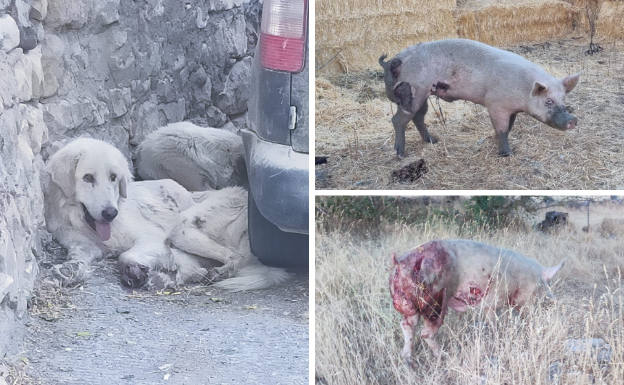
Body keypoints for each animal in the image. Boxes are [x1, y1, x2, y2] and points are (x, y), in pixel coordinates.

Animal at [43, 136, 288, 290]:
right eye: (88, 178)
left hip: (182, 228)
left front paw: (136, 269)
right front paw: (63, 272)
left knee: (233, 257)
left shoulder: (152, 238)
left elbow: (126, 255)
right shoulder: (82, 246)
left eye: (114, 177)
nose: (110, 213)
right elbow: (76, 260)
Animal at [380, 37, 580, 154]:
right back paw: (401, 154)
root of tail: (393, 61)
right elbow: (502, 129)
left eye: (563, 99)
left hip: (422, 93)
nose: (573, 119)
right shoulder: (496, 105)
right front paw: (507, 154)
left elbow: (509, 127)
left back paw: (433, 141)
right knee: (398, 120)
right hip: (413, 91)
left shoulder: (511, 110)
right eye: (548, 101)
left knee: (418, 117)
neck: (523, 91)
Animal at [388, 237, 564, 360]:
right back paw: (444, 356)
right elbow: (494, 322)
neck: (525, 279)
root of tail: (401, 264)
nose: (553, 301)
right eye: (545, 284)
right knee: (426, 333)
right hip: (434, 300)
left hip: (411, 305)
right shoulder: (492, 301)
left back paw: (406, 358)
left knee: (407, 325)